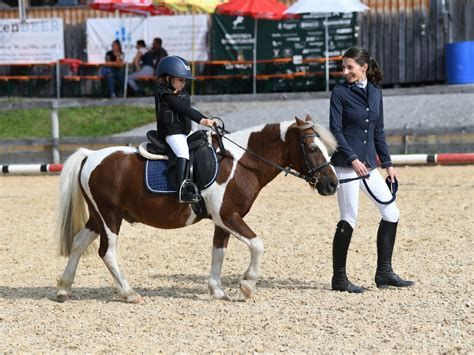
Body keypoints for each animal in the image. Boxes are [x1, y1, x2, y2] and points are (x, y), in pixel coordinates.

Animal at [56, 115, 336, 304]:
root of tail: (90, 155)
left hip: (98, 217)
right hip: (110, 217)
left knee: (79, 243)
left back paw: (64, 288)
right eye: (312, 148)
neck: (241, 162)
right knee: (108, 252)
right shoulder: (229, 216)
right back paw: (129, 293)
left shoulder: (223, 221)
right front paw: (247, 284)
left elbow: (218, 253)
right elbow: (257, 245)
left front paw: (218, 290)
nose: (332, 184)